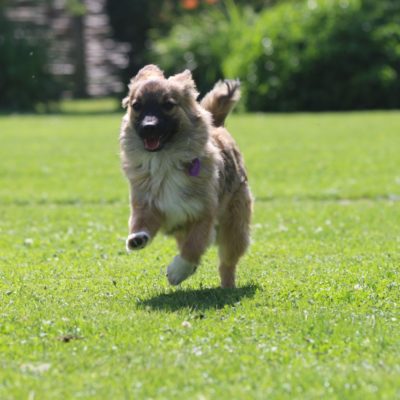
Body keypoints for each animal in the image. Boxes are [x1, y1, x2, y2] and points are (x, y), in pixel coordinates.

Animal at [118, 65, 253, 288]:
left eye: (168, 105)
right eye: (137, 106)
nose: (148, 126)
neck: (164, 160)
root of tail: (218, 125)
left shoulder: (203, 214)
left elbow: (194, 245)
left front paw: (177, 271)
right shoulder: (148, 203)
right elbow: (140, 221)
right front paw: (137, 237)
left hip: (234, 228)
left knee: (227, 262)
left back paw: (227, 286)